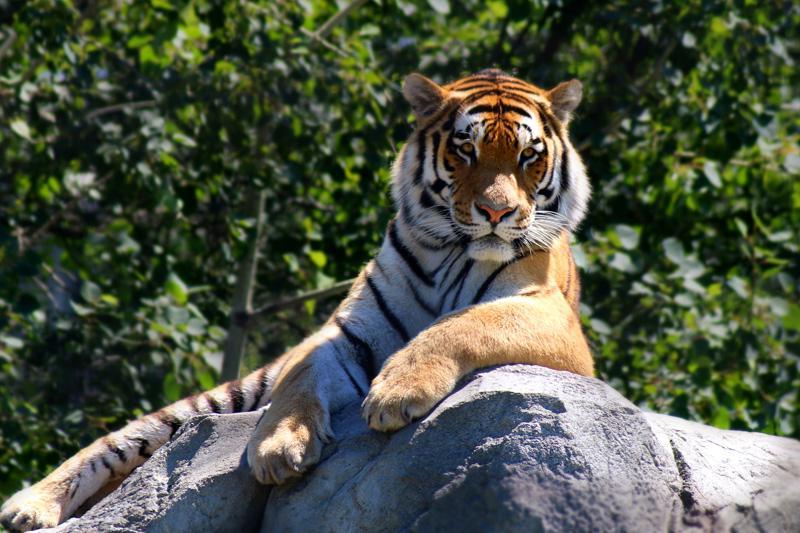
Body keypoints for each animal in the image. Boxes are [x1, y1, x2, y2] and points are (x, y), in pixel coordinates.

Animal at [1, 68, 593, 532]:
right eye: (466, 149)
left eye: (528, 157)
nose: (497, 212)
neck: (450, 250)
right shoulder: (344, 332)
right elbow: (302, 377)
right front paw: (278, 448)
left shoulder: (550, 317)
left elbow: (463, 324)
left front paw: (396, 392)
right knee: (117, 442)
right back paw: (28, 506)